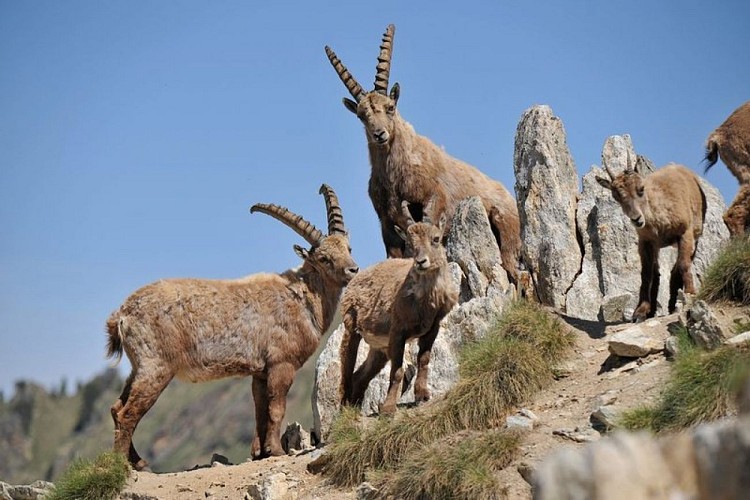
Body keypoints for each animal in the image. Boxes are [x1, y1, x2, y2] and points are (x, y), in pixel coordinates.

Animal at [106, 185, 358, 470]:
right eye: (324, 258)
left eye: (348, 247)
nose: (353, 269)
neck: (301, 297)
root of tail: (122, 314)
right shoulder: (281, 364)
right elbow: (276, 408)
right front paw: (276, 451)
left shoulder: (260, 371)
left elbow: (260, 410)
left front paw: (260, 452)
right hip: (156, 367)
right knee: (127, 413)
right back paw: (120, 466)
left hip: (138, 367)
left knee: (116, 407)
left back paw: (138, 462)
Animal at [325, 24, 521, 283]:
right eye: (361, 115)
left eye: (390, 107)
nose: (380, 134)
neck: (395, 175)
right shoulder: (386, 223)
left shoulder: (433, 198)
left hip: (507, 234)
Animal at [339, 201, 458, 415]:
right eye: (410, 244)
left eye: (435, 239)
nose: (420, 262)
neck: (426, 301)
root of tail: (357, 276)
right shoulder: (397, 331)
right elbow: (397, 371)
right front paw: (388, 408)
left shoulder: (433, 327)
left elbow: (424, 359)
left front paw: (422, 394)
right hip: (352, 329)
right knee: (346, 372)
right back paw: (344, 411)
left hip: (379, 348)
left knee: (360, 376)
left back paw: (355, 408)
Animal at [596, 160, 706, 322]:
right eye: (616, 197)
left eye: (641, 189)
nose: (636, 219)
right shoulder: (646, 241)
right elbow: (647, 274)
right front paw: (640, 311)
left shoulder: (685, 233)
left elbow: (683, 265)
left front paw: (690, 293)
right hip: (657, 246)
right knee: (658, 272)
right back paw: (656, 309)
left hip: (696, 233)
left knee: (679, 265)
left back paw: (673, 303)